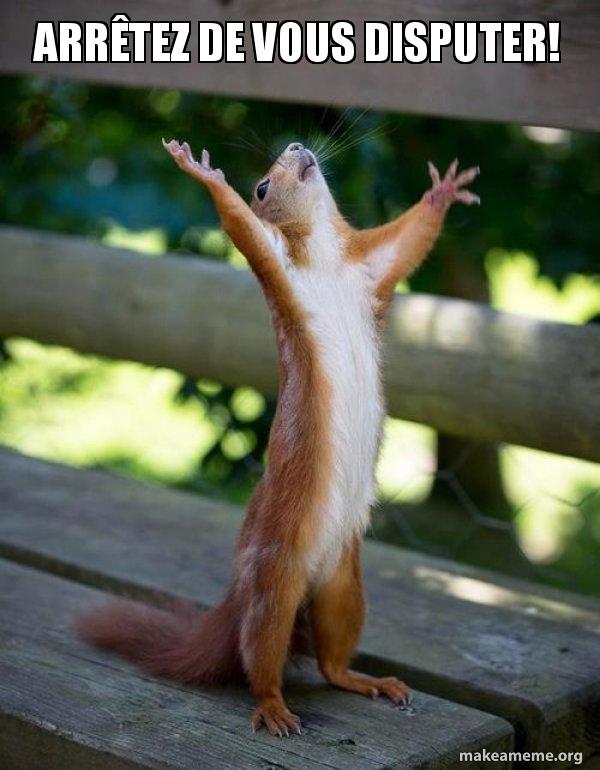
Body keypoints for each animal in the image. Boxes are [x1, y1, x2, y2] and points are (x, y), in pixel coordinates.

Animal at [79, 138, 479, 737]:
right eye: (262, 186)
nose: (296, 146)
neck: (327, 258)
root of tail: (239, 596)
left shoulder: (371, 267)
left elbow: (408, 241)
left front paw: (443, 191)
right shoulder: (277, 266)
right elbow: (241, 227)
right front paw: (204, 174)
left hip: (344, 586)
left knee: (332, 660)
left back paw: (368, 681)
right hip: (274, 583)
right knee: (260, 657)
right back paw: (273, 707)